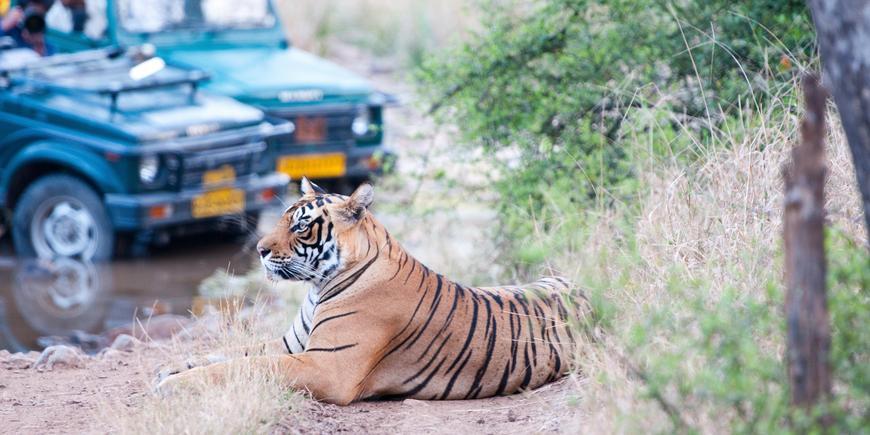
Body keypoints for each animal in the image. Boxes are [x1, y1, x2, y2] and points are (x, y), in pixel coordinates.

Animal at [156, 178, 586, 405]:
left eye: (300, 226)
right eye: (281, 218)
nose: (259, 251)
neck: (317, 286)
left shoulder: (324, 366)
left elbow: (247, 365)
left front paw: (173, 384)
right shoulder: (293, 345)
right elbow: (231, 353)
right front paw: (172, 367)